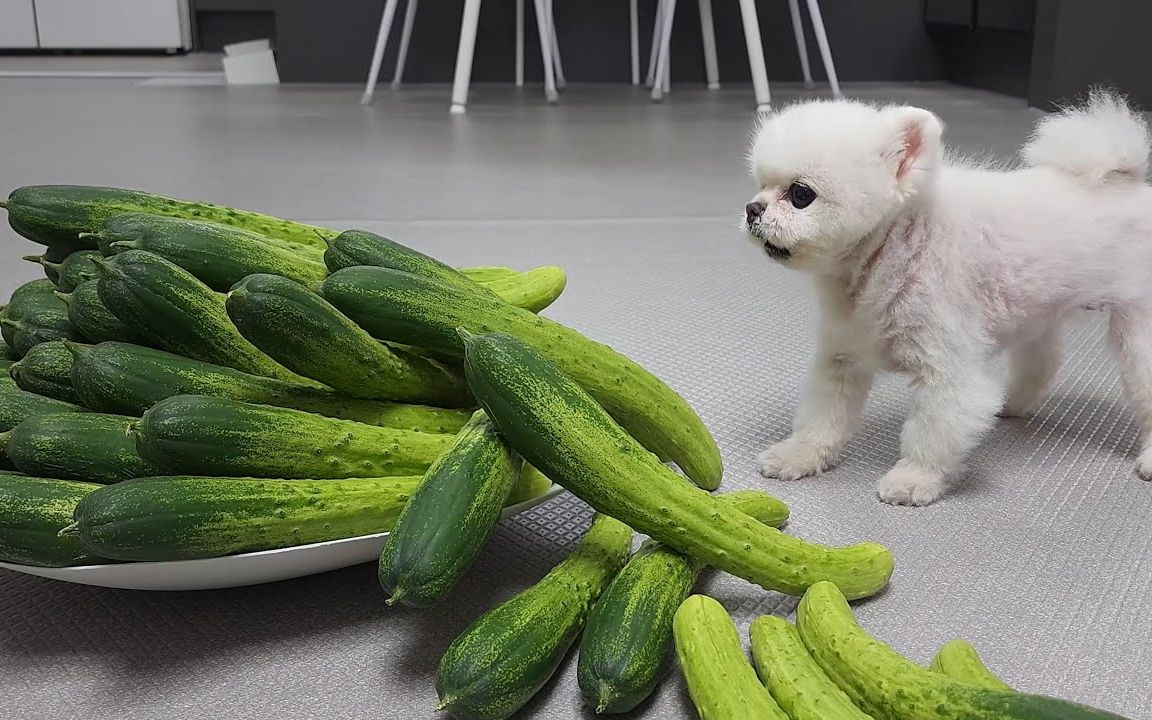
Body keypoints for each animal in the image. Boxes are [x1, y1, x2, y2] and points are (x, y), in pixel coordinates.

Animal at [741, 89, 1152, 504]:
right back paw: (1012, 403)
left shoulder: (945, 367)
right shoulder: (843, 355)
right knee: (1043, 363)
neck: (894, 248)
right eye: (760, 184)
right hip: (1037, 313)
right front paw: (800, 454)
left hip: (1137, 330)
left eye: (800, 194)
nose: (752, 208)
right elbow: (821, 418)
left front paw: (915, 479)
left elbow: (931, 433)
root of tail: (1129, 179)